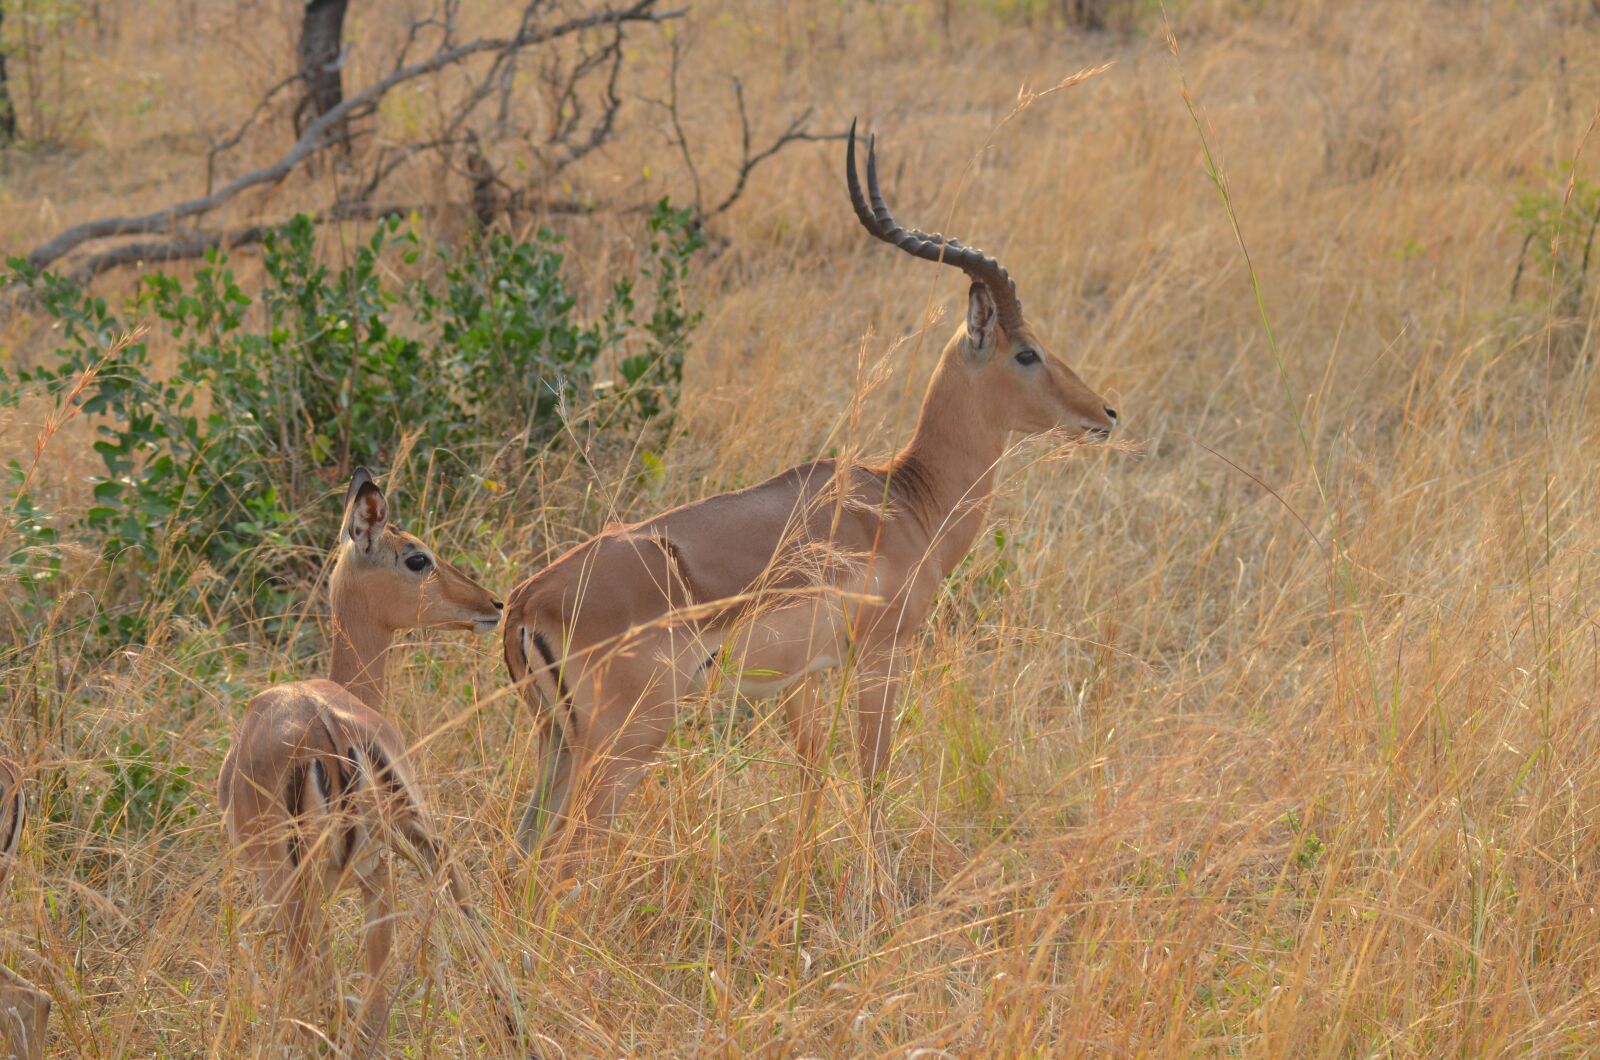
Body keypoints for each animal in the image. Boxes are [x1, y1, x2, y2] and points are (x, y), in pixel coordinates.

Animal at [218, 469, 508, 1042]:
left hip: (316, 890)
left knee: (334, 1003)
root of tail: (324, 724)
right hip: (403, 850)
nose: (493, 604)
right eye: (418, 558)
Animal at [502, 120, 1118, 882]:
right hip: (624, 742)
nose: (1104, 413)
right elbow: (872, 775)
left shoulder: (800, 681)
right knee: (568, 854)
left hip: (557, 742)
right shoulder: (880, 658)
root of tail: (525, 602)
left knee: (521, 849)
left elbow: (812, 774)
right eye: (1026, 352)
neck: (904, 501)